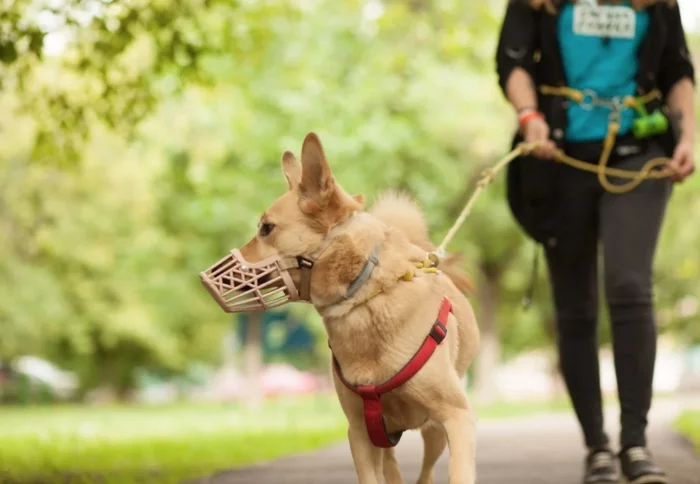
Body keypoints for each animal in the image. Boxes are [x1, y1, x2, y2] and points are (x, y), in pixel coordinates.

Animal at [216, 131, 476, 480]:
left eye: (266, 228)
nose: (209, 277)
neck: (364, 297)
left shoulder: (457, 418)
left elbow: (458, 471)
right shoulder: (361, 433)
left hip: (433, 432)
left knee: (426, 472)